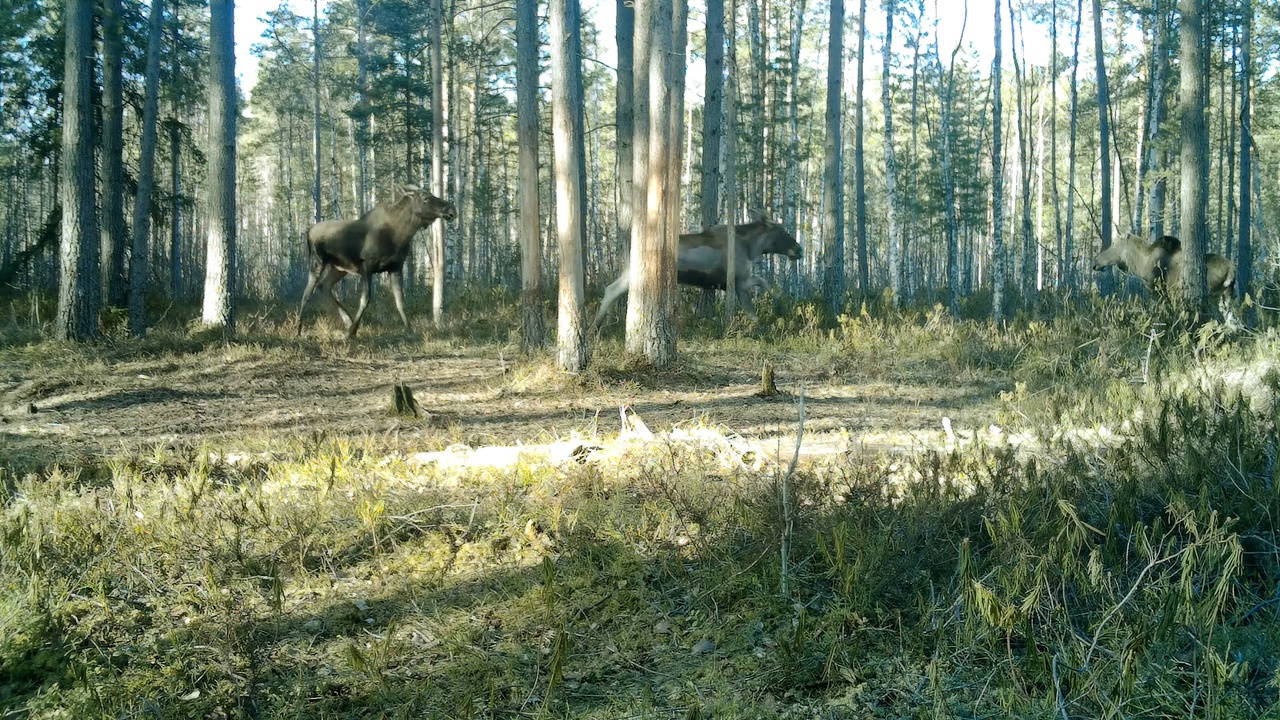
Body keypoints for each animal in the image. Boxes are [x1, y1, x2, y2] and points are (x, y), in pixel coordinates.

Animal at [296, 188, 458, 338]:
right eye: (425, 198)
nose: (452, 209)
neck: (401, 235)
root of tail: (308, 231)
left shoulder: (396, 267)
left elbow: (400, 300)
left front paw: (409, 330)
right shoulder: (367, 266)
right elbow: (365, 299)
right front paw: (351, 332)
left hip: (340, 268)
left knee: (324, 285)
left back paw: (347, 319)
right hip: (317, 261)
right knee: (306, 293)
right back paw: (299, 329)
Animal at [591, 208, 798, 324]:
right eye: (782, 231)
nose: (800, 249)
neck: (752, 248)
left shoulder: (739, 280)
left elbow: (764, 282)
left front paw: (781, 304)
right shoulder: (739, 281)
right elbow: (752, 311)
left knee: (612, 290)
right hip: (633, 274)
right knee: (611, 290)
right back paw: (597, 325)